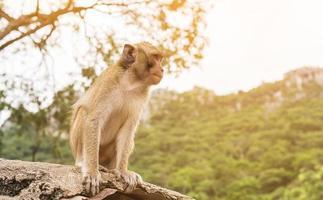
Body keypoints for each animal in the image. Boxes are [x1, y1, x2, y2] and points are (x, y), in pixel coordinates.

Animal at [68, 41, 165, 195]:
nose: (162, 69)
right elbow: (93, 119)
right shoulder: (108, 83)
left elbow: (128, 130)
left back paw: (114, 169)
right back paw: (84, 162)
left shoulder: (143, 95)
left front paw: (123, 171)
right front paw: (92, 172)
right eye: (155, 57)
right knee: (84, 111)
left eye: (161, 59)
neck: (130, 82)